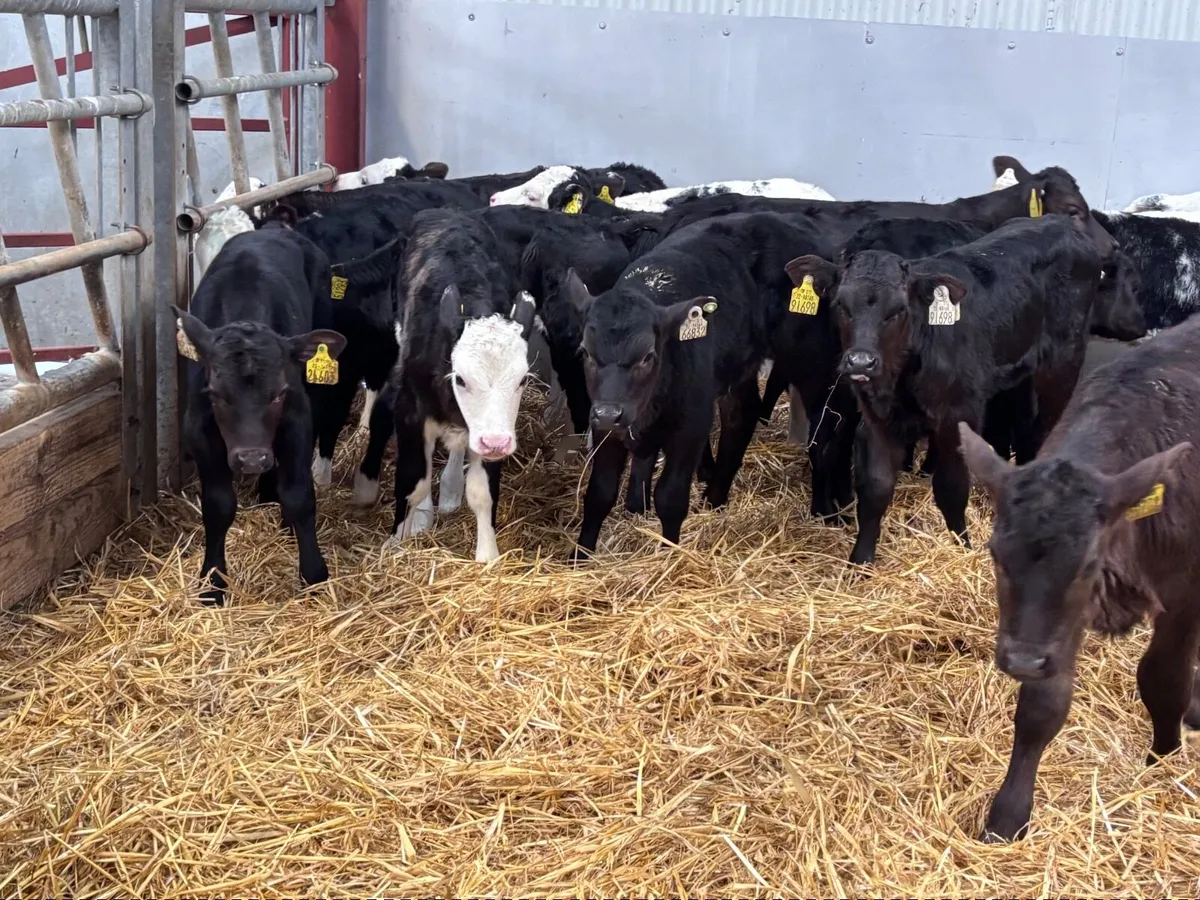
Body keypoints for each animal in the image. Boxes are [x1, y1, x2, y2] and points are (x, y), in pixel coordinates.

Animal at [174, 224, 347, 606]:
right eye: (215, 393)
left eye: (279, 393)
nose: (252, 458)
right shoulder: (199, 429)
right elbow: (218, 505)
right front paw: (212, 582)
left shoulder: (296, 419)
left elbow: (299, 495)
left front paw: (313, 574)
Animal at [386, 208, 539, 562]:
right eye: (460, 378)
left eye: (522, 380)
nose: (496, 443)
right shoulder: (409, 408)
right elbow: (414, 481)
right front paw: (397, 542)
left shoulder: (489, 429)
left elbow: (482, 491)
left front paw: (488, 555)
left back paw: (451, 491)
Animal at [565, 210, 849, 559]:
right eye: (585, 352)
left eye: (648, 356)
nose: (609, 412)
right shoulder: (607, 427)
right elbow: (599, 494)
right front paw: (580, 557)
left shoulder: (691, 424)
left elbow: (670, 497)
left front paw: (671, 554)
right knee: (741, 415)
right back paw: (715, 498)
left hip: (812, 360)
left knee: (823, 429)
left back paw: (824, 509)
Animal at [785, 214, 1109, 564]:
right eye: (841, 305)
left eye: (898, 310)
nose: (861, 362)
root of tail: (1059, 221)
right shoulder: (877, 417)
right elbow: (875, 487)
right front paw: (861, 561)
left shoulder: (958, 416)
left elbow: (951, 488)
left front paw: (962, 546)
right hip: (1020, 378)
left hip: (1062, 366)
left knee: (1041, 431)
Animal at [957, 315, 1200, 843]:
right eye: (995, 554)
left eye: (1088, 562)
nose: (1021, 661)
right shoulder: (1052, 625)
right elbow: (1041, 706)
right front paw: (1008, 817)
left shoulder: (1184, 594)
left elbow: (1163, 677)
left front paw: (1163, 759)